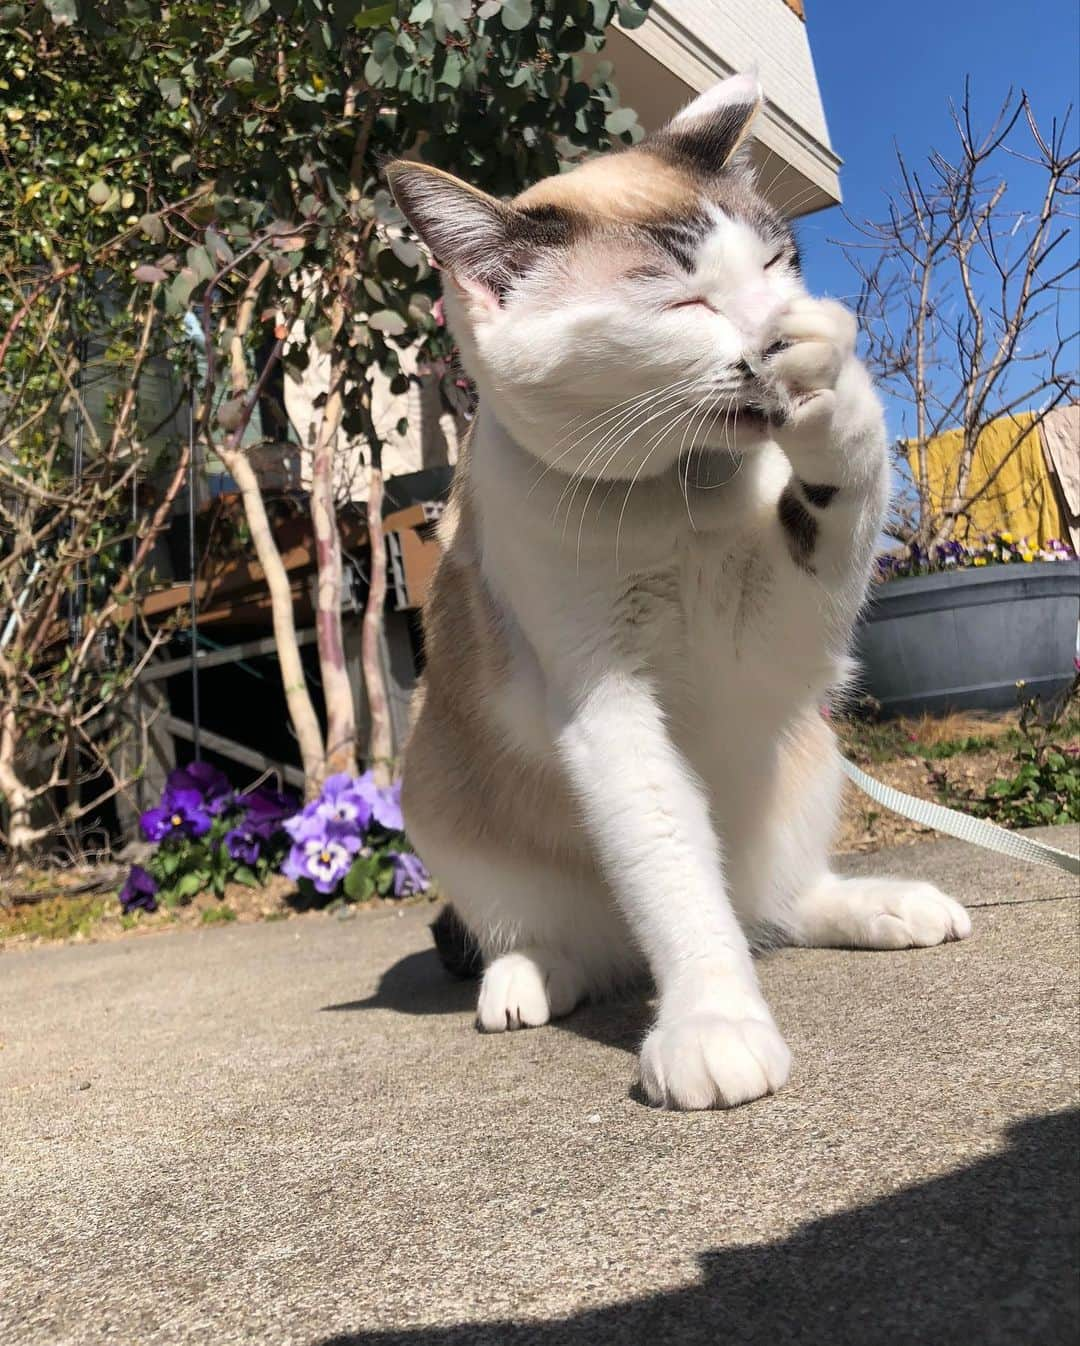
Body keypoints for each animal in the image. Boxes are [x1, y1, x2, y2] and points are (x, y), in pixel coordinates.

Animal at [385, 68, 969, 1109]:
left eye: (778, 261)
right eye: (682, 303)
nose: (778, 328)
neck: (679, 493)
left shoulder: (773, 643)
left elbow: (843, 499)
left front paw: (838, 392)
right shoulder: (602, 700)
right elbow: (668, 863)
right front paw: (712, 1023)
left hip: (810, 758)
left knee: (776, 902)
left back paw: (884, 905)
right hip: (441, 801)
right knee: (565, 927)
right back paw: (529, 976)